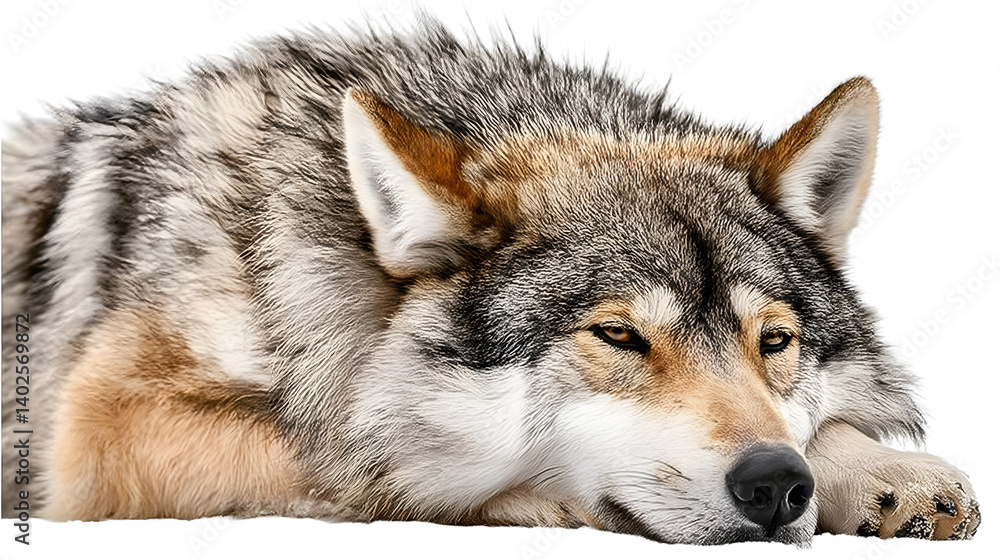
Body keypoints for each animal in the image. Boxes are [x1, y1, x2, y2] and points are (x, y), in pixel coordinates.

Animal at [1, 20, 980, 544]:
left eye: (774, 342)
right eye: (619, 336)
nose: (774, 485)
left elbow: (824, 427)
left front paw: (882, 471)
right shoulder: (106, 428)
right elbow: (370, 464)